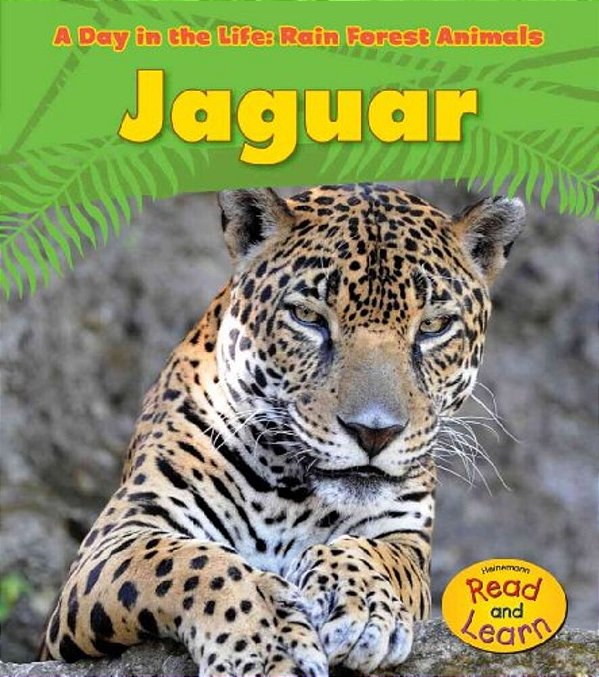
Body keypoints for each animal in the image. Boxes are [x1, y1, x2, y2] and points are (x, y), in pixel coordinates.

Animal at [40, 183, 524, 676]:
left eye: (433, 326)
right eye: (307, 317)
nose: (374, 432)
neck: (289, 492)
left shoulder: (406, 539)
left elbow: (376, 553)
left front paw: (361, 604)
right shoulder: (118, 538)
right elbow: (192, 561)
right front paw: (269, 643)